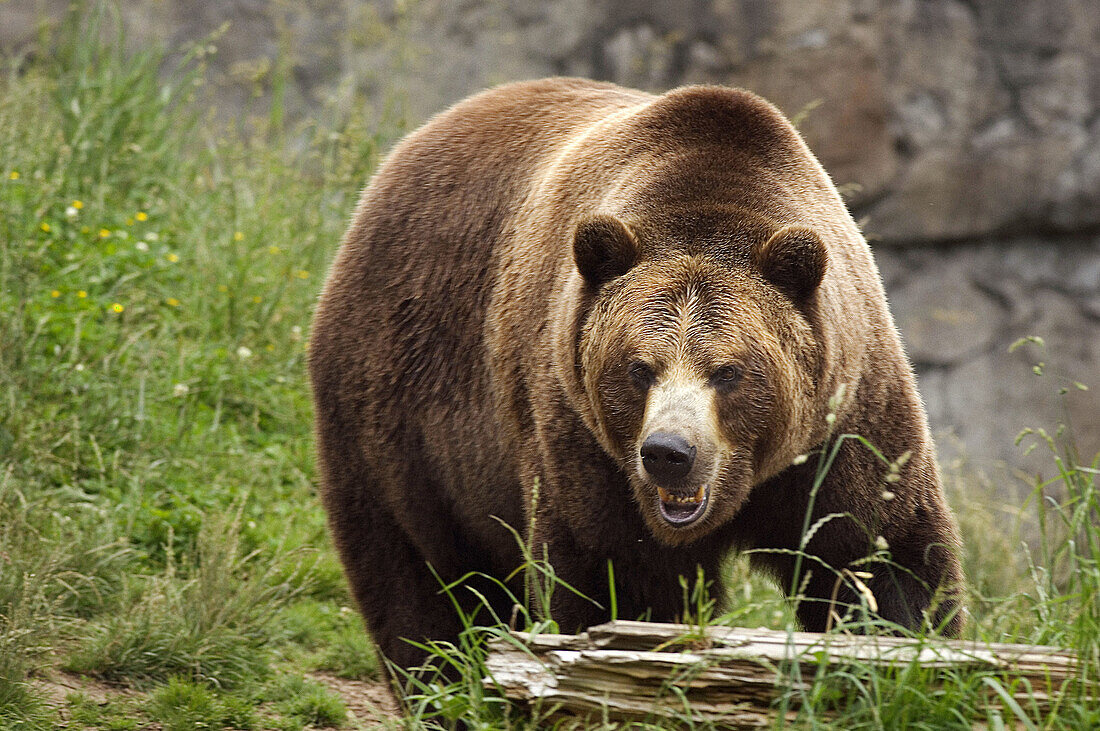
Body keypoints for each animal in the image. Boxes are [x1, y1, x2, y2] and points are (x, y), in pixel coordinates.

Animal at [308, 76, 963, 668]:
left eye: (728, 372)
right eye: (639, 369)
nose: (670, 452)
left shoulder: (844, 422)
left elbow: (879, 557)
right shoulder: (581, 436)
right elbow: (615, 575)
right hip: (398, 411)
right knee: (419, 581)